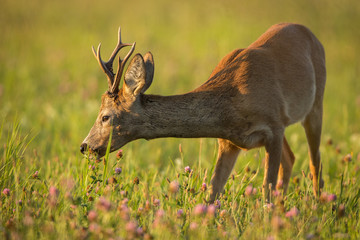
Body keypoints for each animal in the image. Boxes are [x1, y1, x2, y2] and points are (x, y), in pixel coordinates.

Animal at [81, 23, 326, 202]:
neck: (231, 104)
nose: (85, 146)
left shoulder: (274, 126)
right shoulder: (228, 142)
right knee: (291, 158)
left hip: (315, 106)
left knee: (315, 163)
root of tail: (309, 32)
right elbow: (212, 193)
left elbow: (266, 187)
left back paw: (318, 206)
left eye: (105, 116)